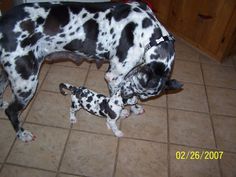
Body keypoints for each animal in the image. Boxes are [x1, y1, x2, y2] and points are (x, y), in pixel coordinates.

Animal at [0, 0, 183, 141]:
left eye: (142, 94)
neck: (148, 34)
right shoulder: (114, 76)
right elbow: (116, 97)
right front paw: (123, 109)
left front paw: (134, 107)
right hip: (26, 83)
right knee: (12, 112)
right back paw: (21, 134)